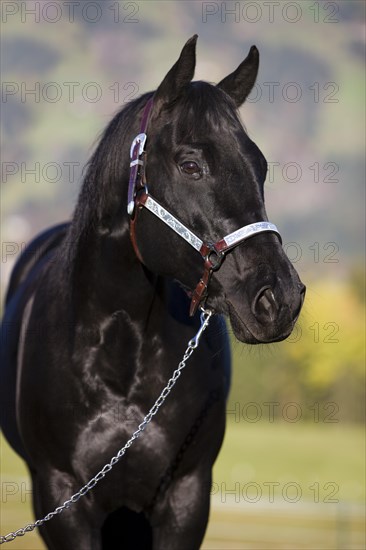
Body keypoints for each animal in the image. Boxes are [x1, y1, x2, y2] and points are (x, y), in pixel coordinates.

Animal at [1, 36, 304, 548]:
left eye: (261, 166)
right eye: (190, 165)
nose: (279, 298)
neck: (120, 355)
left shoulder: (185, 496)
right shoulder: (61, 500)